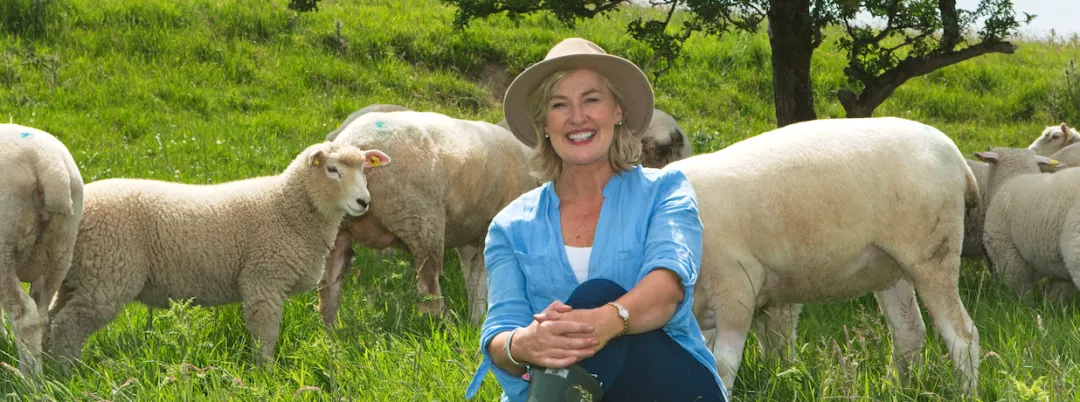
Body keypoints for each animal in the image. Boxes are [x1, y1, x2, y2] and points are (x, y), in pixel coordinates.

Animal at [0, 124, 83, 376]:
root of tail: (47, 162)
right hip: (61, 248)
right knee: (43, 312)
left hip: (4, 249)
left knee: (25, 317)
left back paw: (30, 378)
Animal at [48, 140, 393, 367]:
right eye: (332, 170)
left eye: (365, 170)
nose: (364, 202)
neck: (287, 208)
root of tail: (80, 208)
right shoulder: (264, 280)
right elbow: (266, 334)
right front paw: (266, 374)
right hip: (107, 274)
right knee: (67, 327)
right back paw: (69, 372)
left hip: (79, 275)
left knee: (49, 319)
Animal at [319, 109, 540, 326]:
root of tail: (354, 141)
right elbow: (482, 277)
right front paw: (478, 322)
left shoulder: (468, 234)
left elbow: (473, 277)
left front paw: (475, 320)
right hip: (422, 222)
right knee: (429, 291)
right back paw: (448, 327)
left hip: (336, 228)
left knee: (328, 286)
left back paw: (335, 332)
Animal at [673, 116, 989, 395]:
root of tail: (959, 162)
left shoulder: (736, 289)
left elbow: (722, 365)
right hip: (890, 268)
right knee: (909, 332)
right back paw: (895, 389)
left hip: (932, 255)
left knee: (963, 336)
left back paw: (964, 392)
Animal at [972, 148, 1080, 302]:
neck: (1012, 177)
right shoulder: (1058, 270)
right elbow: (1059, 294)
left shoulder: (1007, 253)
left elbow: (1020, 290)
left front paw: (1022, 305)